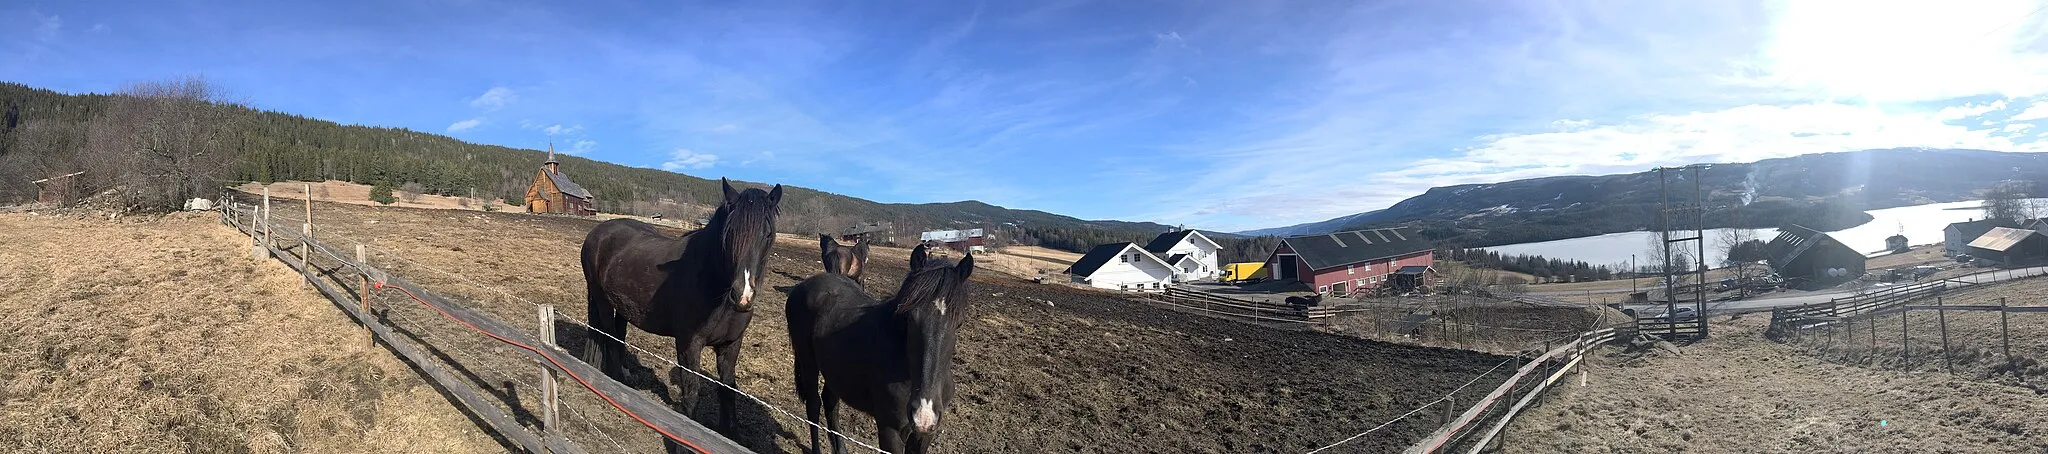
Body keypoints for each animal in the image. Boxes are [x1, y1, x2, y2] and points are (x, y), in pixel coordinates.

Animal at [585, 176, 790, 435]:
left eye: (768, 234)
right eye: (729, 232)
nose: (743, 295)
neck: (714, 286)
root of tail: (597, 233)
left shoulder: (731, 344)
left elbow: (728, 391)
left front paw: (729, 434)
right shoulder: (689, 344)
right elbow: (692, 393)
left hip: (623, 305)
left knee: (619, 335)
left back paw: (625, 374)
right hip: (601, 299)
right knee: (609, 335)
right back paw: (617, 381)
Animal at [782, 244, 974, 454]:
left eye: (959, 322)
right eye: (909, 317)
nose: (924, 413)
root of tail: (803, 286)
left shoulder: (925, 434)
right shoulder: (890, 431)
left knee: (830, 402)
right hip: (807, 360)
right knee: (814, 404)